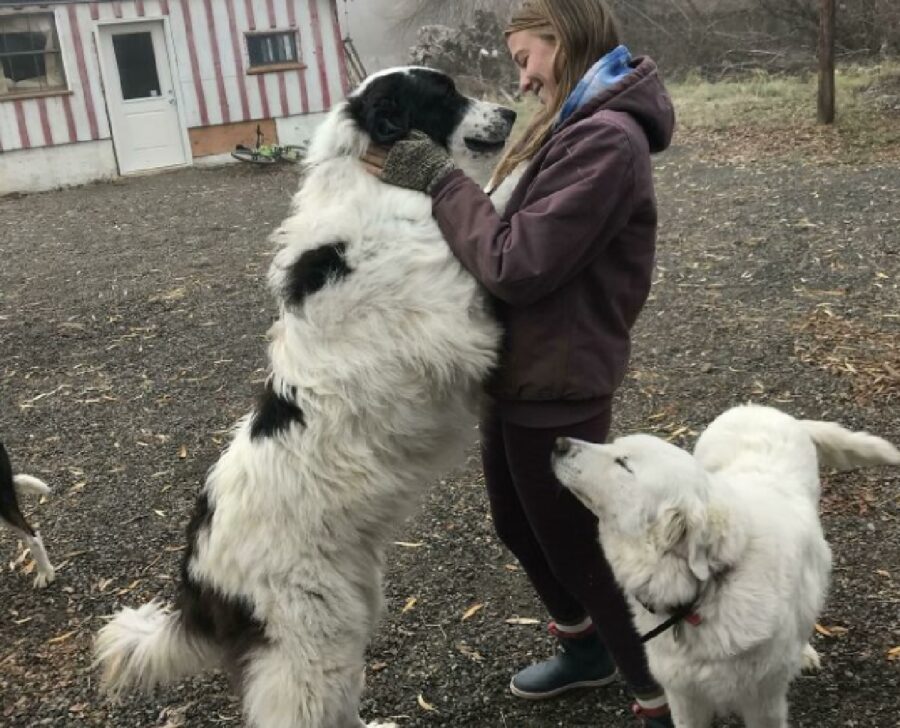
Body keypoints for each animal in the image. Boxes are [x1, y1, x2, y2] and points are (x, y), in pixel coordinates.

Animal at [95, 65, 516, 724]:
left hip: (347, 610)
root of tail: (195, 581)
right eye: (444, 93)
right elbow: (501, 210)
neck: (377, 182)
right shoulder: (460, 321)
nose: (514, 112)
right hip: (307, 644)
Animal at [552, 404, 896, 728]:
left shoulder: (763, 704)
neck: (706, 592)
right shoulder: (684, 698)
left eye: (624, 464)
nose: (558, 443)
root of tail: (762, 409)